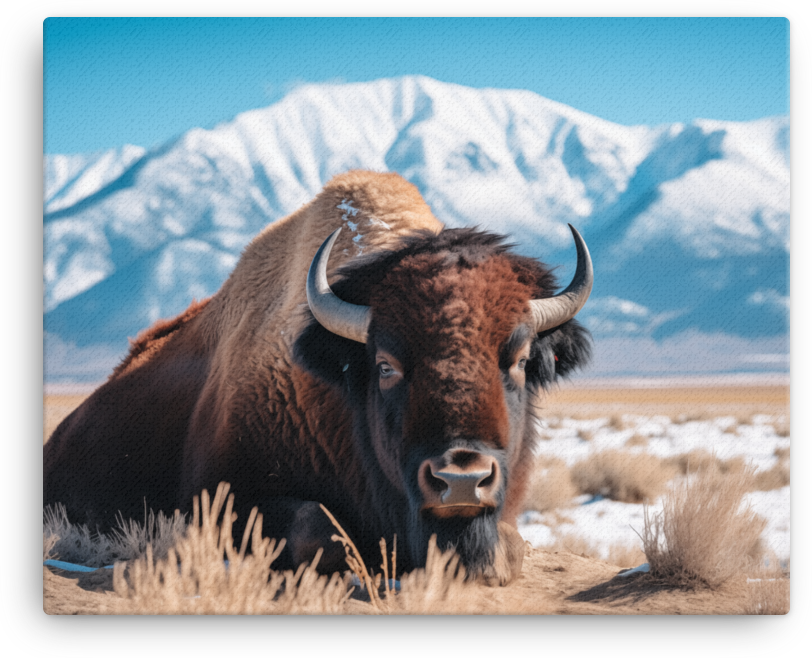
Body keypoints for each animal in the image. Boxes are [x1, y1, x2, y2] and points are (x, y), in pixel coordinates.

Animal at [44, 170, 592, 585]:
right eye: (385, 364)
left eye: (518, 359)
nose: (461, 479)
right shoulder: (220, 498)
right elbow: (319, 528)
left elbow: (510, 545)